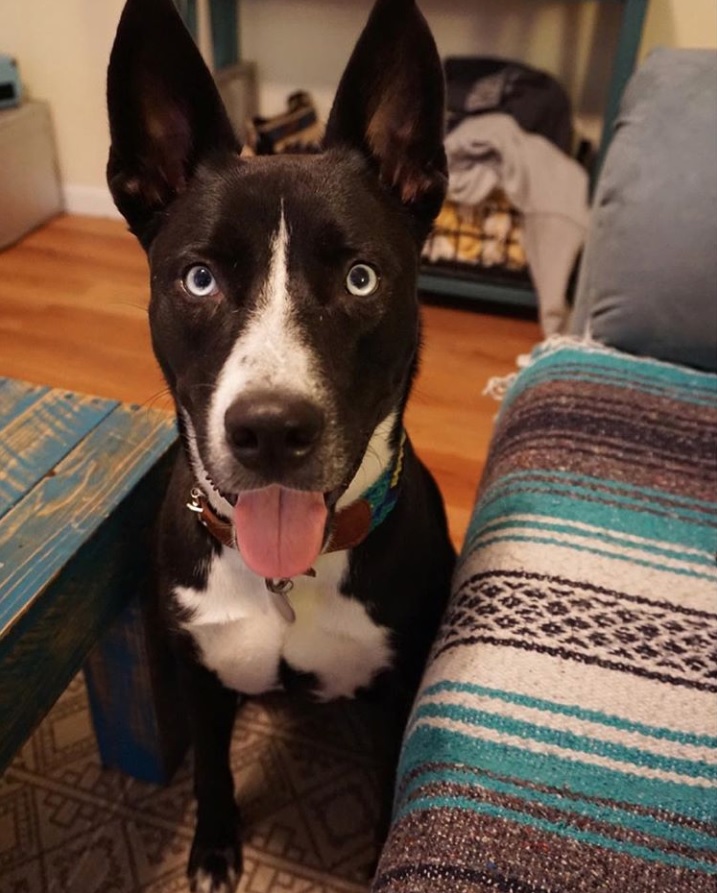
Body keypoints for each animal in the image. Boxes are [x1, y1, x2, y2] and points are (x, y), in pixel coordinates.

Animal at [106, 0, 454, 888]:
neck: (289, 575)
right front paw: (212, 848)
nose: (268, 429)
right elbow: (210, 767)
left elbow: (388, 784)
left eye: (361, 278)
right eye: (198, 278)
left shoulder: (396, 689)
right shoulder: (200, 671)